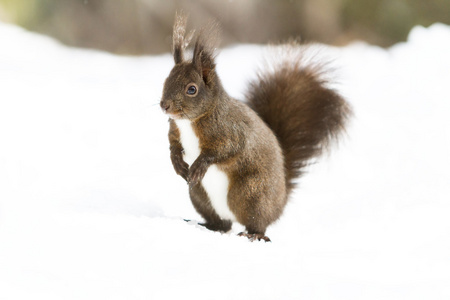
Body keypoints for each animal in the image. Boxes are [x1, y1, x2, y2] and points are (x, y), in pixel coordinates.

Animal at [159, 13, 352, 241]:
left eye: (192, 89)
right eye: (166, 80)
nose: (164, 105)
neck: (189, 121)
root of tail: (281, 199)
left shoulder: (230, 131)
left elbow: (224, 150)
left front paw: (198, 166)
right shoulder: (174, 131)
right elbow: (173, 145)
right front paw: (178, 163)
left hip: (252, 194)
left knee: (257, 223)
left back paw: (253, 235)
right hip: (200, 196)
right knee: (222, 224)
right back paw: (205, 225)